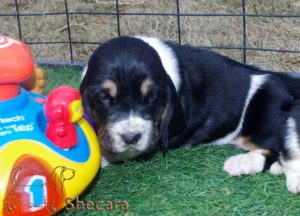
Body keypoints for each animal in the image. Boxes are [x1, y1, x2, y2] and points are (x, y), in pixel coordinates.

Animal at [80, 35, 300, 194]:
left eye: (151, 98)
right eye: (105, 98)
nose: (131, 137)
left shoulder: (156, 135)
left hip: (267, 114)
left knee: (272, 150)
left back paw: (240, 163)